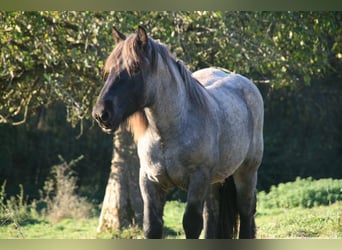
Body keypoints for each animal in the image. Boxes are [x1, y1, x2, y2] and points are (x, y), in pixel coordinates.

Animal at [91, 25, 264, 238]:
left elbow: (191, 224)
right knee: (212, 214)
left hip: (246, 172)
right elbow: (152, 226)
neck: (167, 134)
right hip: (215, 181)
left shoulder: (197, 180)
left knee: (246, 211)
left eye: (135, 68)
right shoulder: (149, 181)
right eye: (109, 70)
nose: (101, 114)